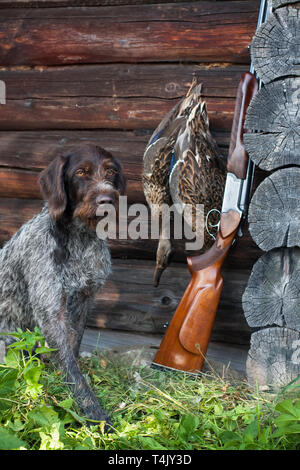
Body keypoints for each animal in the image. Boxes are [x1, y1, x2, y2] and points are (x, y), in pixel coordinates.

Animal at [0, 143, 125, 426]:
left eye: (111, 172)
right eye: (81, 172)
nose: (107, 199)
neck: (80, 239)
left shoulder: (84, 301)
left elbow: (72, 352)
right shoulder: (51, 311)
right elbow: (73, 370)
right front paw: (94, 413)